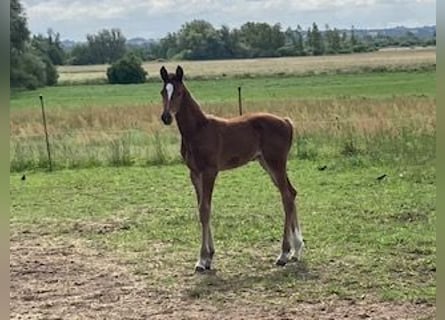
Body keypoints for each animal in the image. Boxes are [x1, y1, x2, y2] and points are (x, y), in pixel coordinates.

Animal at [158, 65, 304, 272]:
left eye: (178, 92)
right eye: (163, 92)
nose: (166, 117)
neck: (198, 129)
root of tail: (286, 121)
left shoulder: (210, 171)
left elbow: (205, 209)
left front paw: (202, 260)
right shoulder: (194, 173)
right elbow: (202, 209)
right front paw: (209, 257)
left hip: (276, 163)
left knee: (286, 197)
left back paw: (283, 254)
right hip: (266, 164)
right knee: (291, 193)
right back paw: (296, 250)